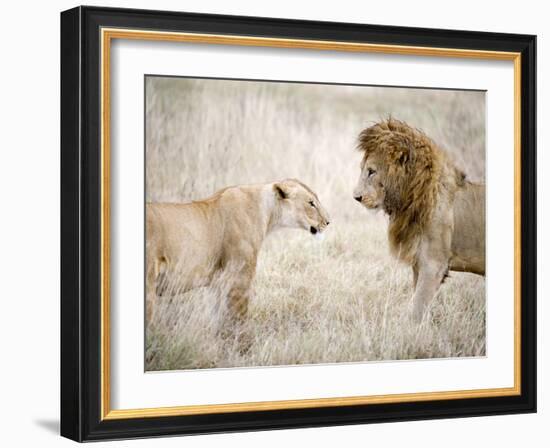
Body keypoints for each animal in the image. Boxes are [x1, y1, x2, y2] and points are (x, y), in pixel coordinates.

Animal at [146, 179, 332, 326]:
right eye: (311, 203)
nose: (328, 222)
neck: (267, 212)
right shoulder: (239, 279)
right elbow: (238, 322)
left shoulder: (218, 283)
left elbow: (219, 320)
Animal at [356, 119, 486, 322]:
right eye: (363, 170)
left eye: (371, 171)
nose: (356, 197)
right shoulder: (419, 264)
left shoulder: (434, 265)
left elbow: (416, 310)